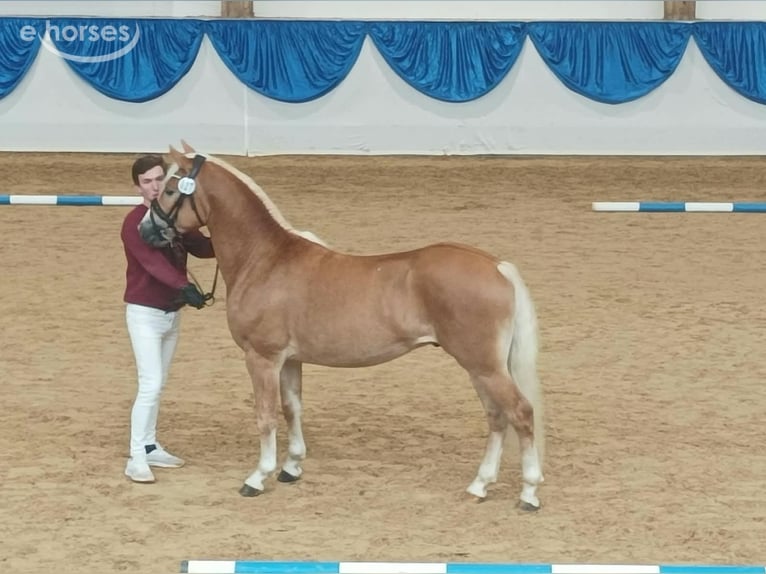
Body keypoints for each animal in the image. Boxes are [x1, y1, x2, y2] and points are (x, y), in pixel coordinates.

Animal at [138, 142, 546, 510]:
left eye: (171, 190)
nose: (145, 230)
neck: (265, 259)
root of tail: (495, 265)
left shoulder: (262, 357)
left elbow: (266, 416)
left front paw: (257, 477)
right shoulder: (290, 360)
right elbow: (292, 409)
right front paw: (291, 467)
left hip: (483, 365)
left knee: (521, 413)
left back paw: (528, 493)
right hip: (480, 367)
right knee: (497, 417)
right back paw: (479, 485)